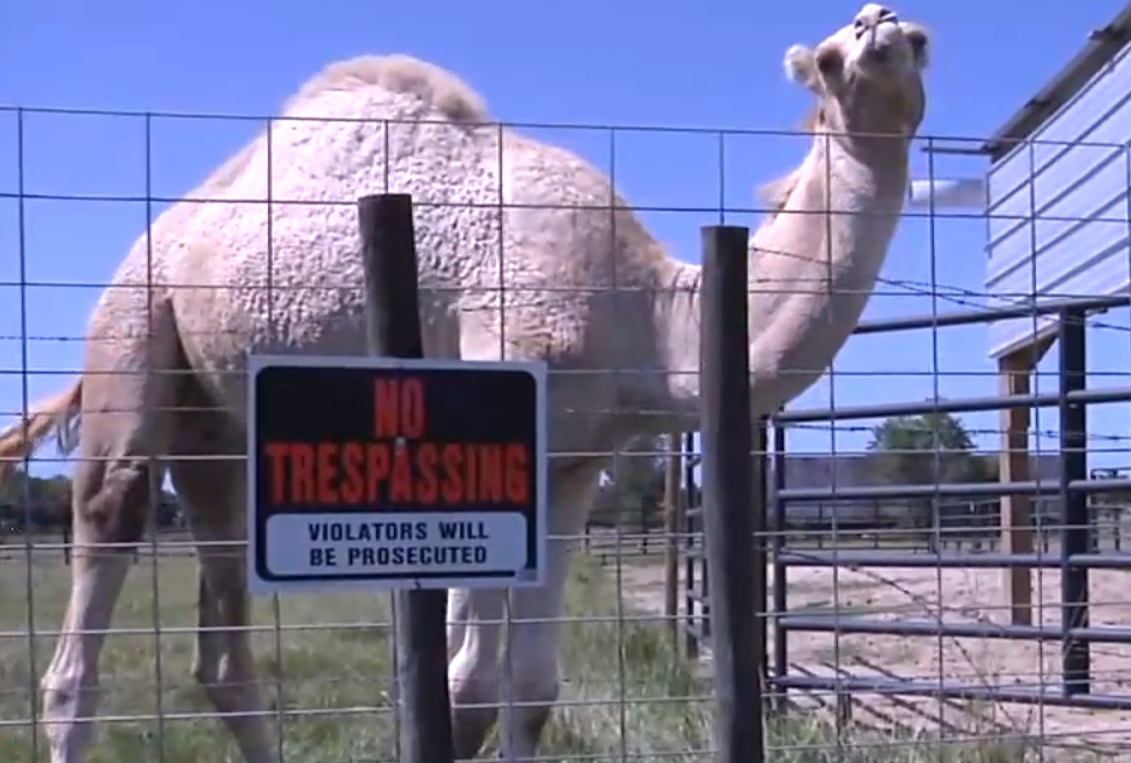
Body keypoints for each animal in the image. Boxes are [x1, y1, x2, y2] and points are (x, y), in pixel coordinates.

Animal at [0, 4, 929, 761]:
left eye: (914, 39)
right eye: (835, 53)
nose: (883, 21)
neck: (647, 309)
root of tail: (169, 225)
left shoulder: (575, 463)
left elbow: (530, 687)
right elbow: (468, 687)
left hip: (216, 426)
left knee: (224, 638)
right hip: (133, 322)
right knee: (106, 529)